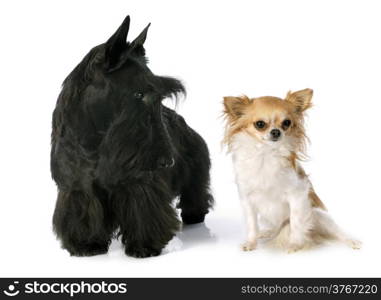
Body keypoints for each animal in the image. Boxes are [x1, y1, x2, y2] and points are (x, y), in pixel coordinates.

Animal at [50, 15, 212, 256]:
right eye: (138, 94)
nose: (167, 162)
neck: (96, 139)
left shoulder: (139, 183)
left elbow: (144, 212)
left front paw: (145, 246)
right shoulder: (76, 186)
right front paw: (86, 244)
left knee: (196, 190)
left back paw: (195, 214)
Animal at [223, 89, 360, 253]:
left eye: (286, 123)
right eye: (260, 124)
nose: (276, 132)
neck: (266, 155)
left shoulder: (297, 195)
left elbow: (296, 222)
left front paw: (295, 244)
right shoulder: (247, 198)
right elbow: (251, 225)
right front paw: (251, 242)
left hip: (318, 215)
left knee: (337, 232)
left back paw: (352, 241)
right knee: (274, 229)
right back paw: (267, 232)